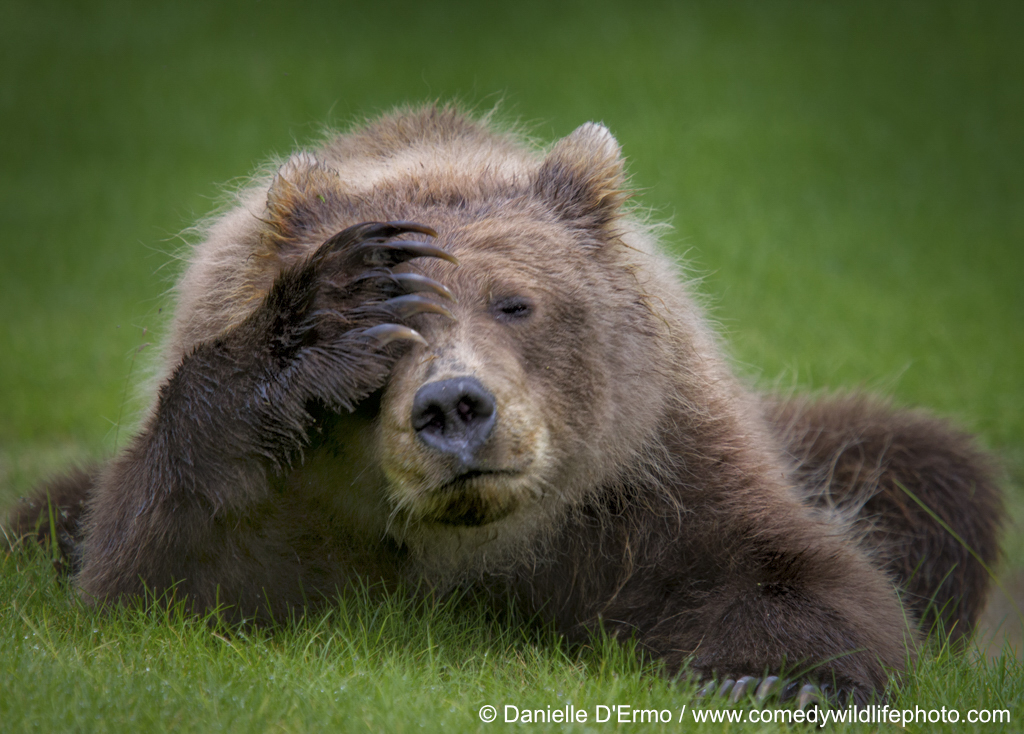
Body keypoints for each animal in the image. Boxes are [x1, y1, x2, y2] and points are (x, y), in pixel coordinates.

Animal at [6, 104, 999, 704]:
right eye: (395, 327)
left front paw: (775, 679)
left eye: (515, 302)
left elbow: (790, 570)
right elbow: (157, 570)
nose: (454, 406)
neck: (470, 542)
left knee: (933, 472)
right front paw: (320, 318)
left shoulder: (649, 471)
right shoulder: (284, 507)